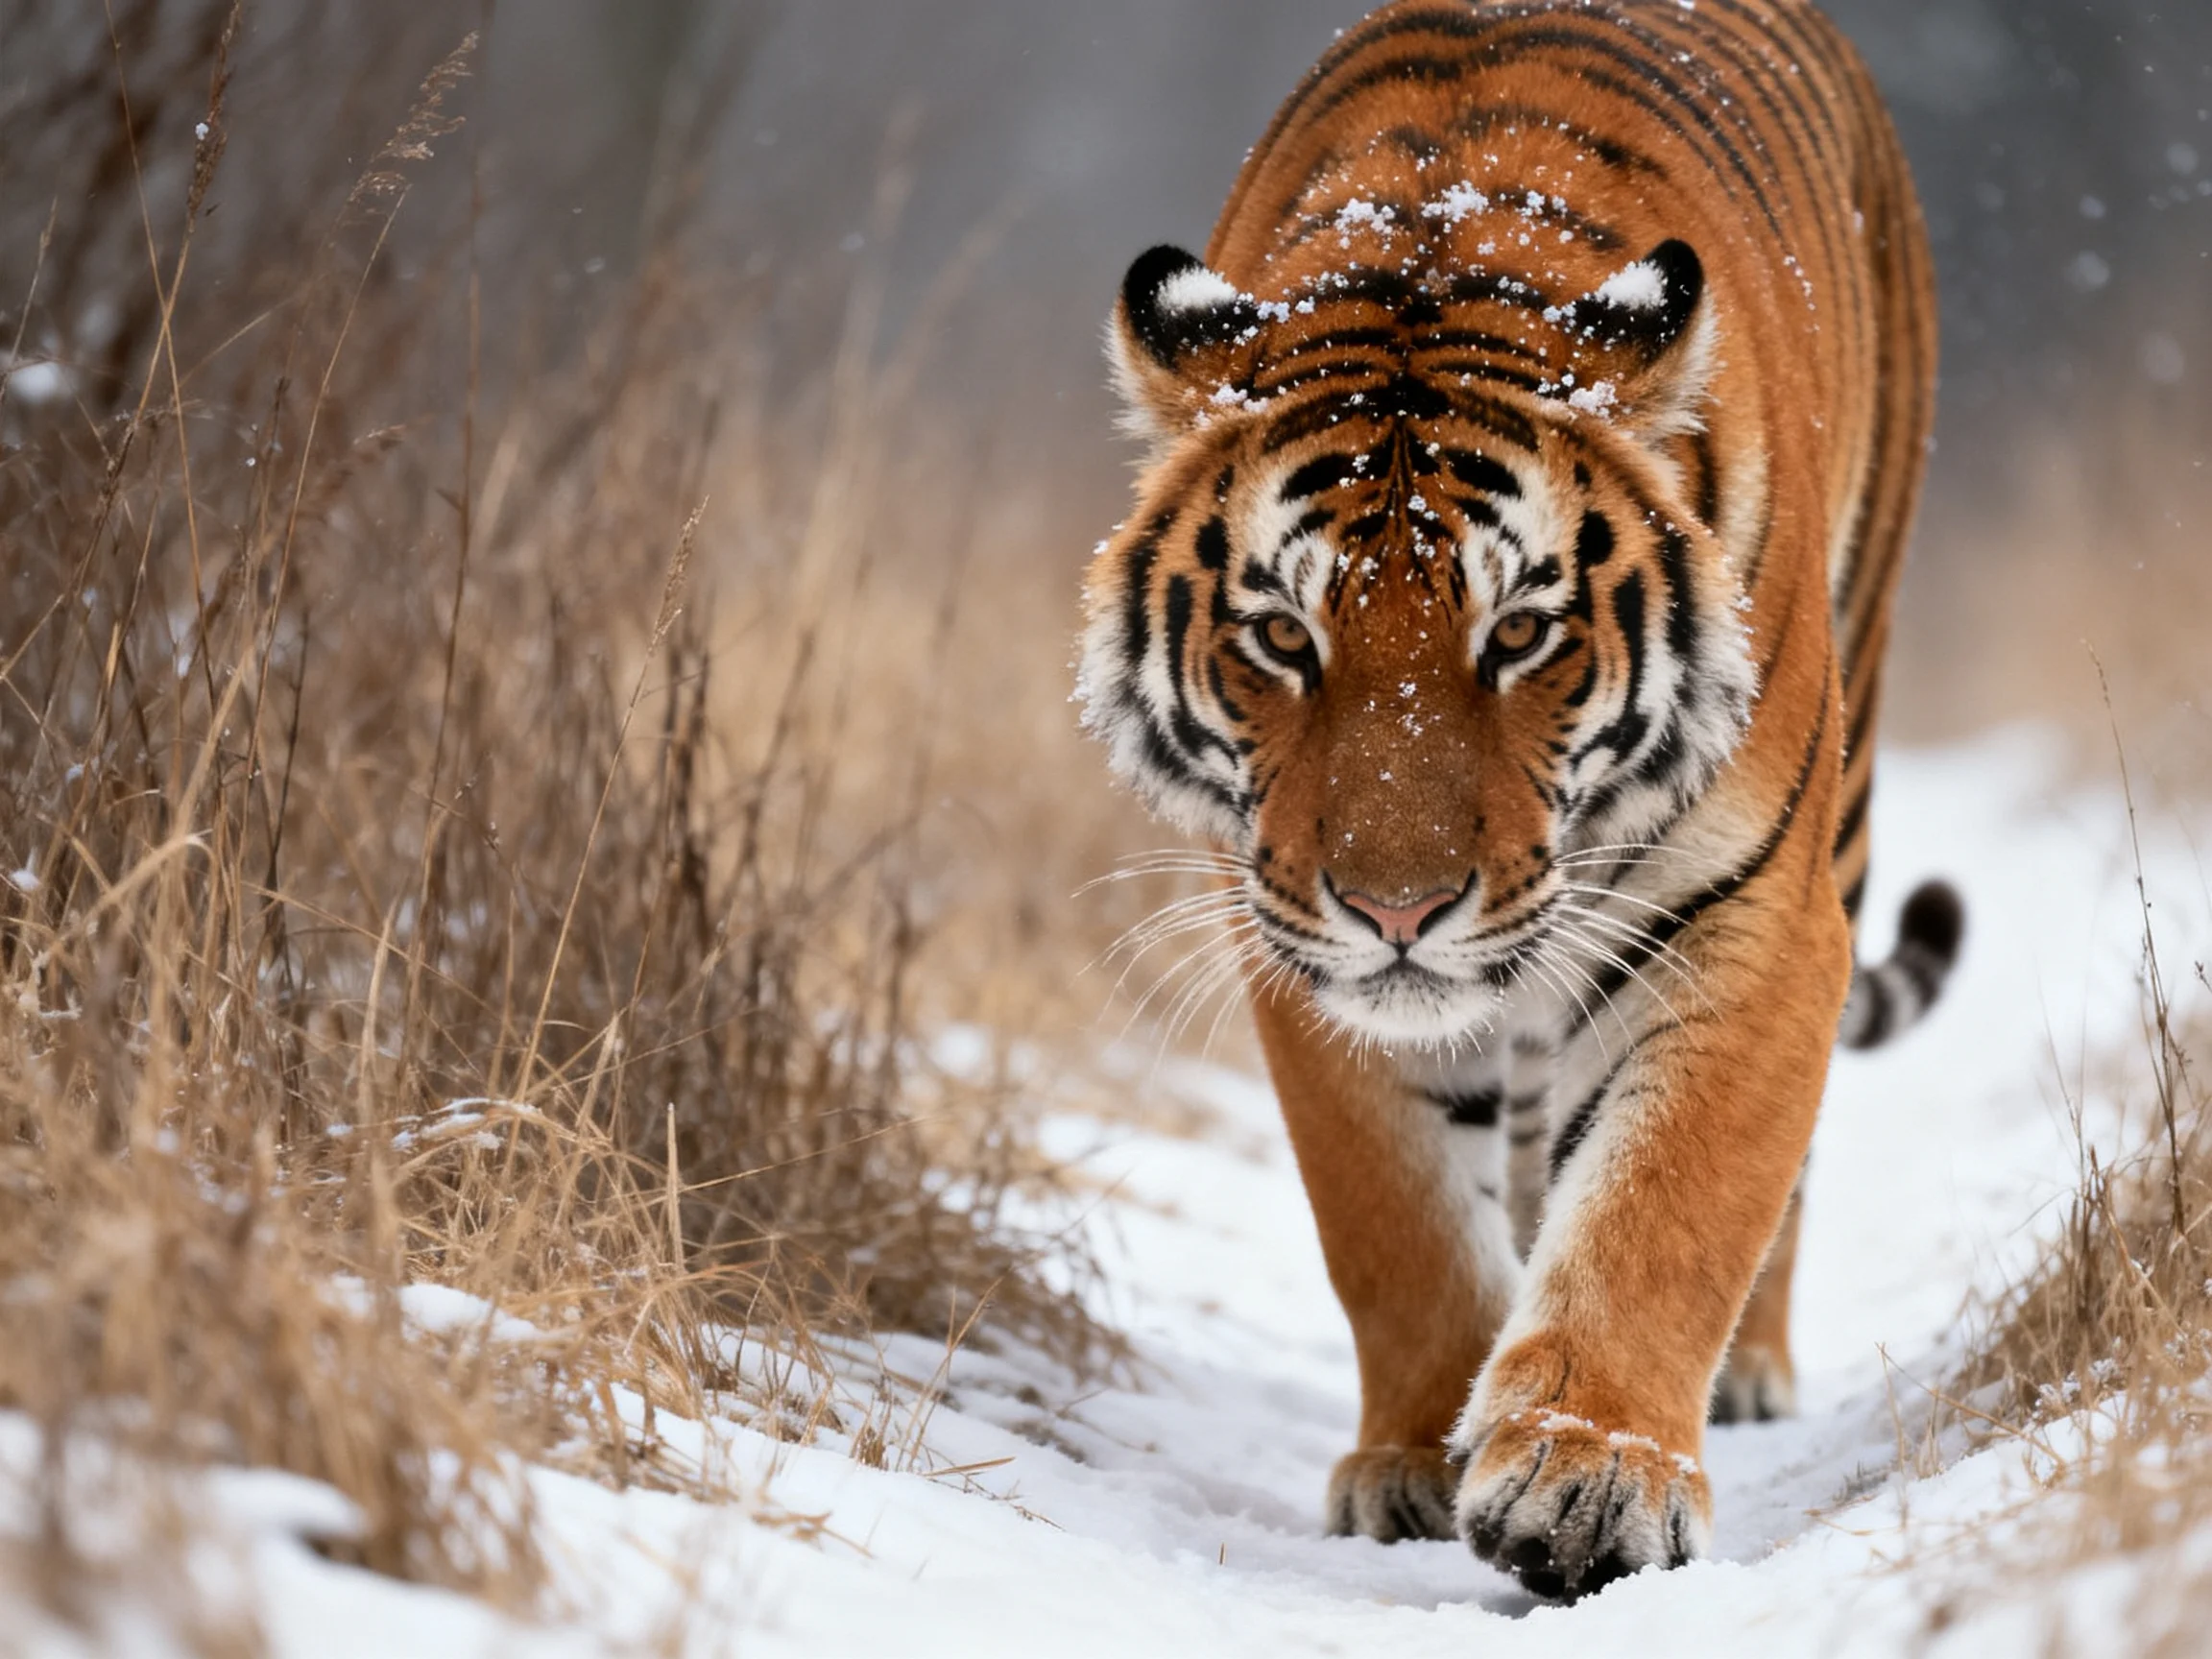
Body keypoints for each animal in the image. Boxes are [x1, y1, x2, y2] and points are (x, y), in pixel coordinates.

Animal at [1077, 0, 1964, 1601]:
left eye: (1523, 634)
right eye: (1282, 637)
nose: (1398, 910)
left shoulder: (1748, 909)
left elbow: (1675, 1198)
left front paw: (1588, 1477)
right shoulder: (1289, 938)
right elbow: (1396, 1224)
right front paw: (1419, 1460)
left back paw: (1744, 1373)